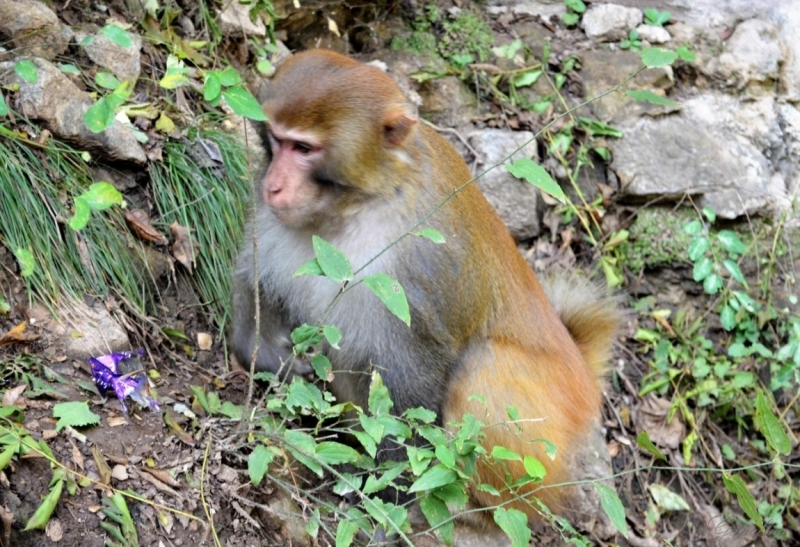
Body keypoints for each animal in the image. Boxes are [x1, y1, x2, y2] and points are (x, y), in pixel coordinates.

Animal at [228, 50, 620, 524]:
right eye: (277, 139)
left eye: (304, 149)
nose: (274, 185)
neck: (362, 202)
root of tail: (581, 372)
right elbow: (257, 281)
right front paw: (266, 355)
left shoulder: (417, 265)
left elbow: (411, 380)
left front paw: (388, 504)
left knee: (486, 368)